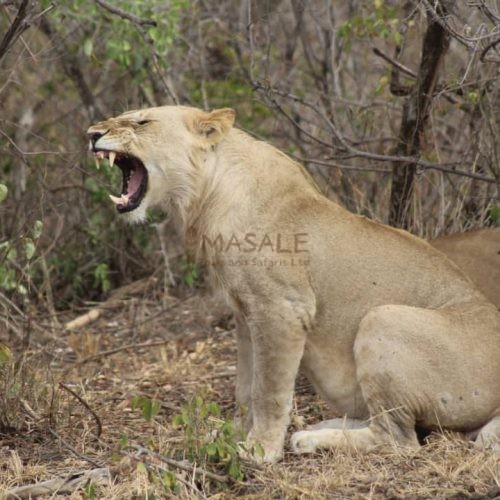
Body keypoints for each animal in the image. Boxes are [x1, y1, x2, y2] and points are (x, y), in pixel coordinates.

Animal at [87, 104, 500, 460]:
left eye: (142, 122)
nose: (91, 134)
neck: (206, 196)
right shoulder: (244, 314)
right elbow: (245, 387)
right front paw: (234, 435)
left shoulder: (281, 309)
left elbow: (269, 390)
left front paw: (259, 451)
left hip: (384, 318)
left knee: (400, 439)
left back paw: (310, 439)